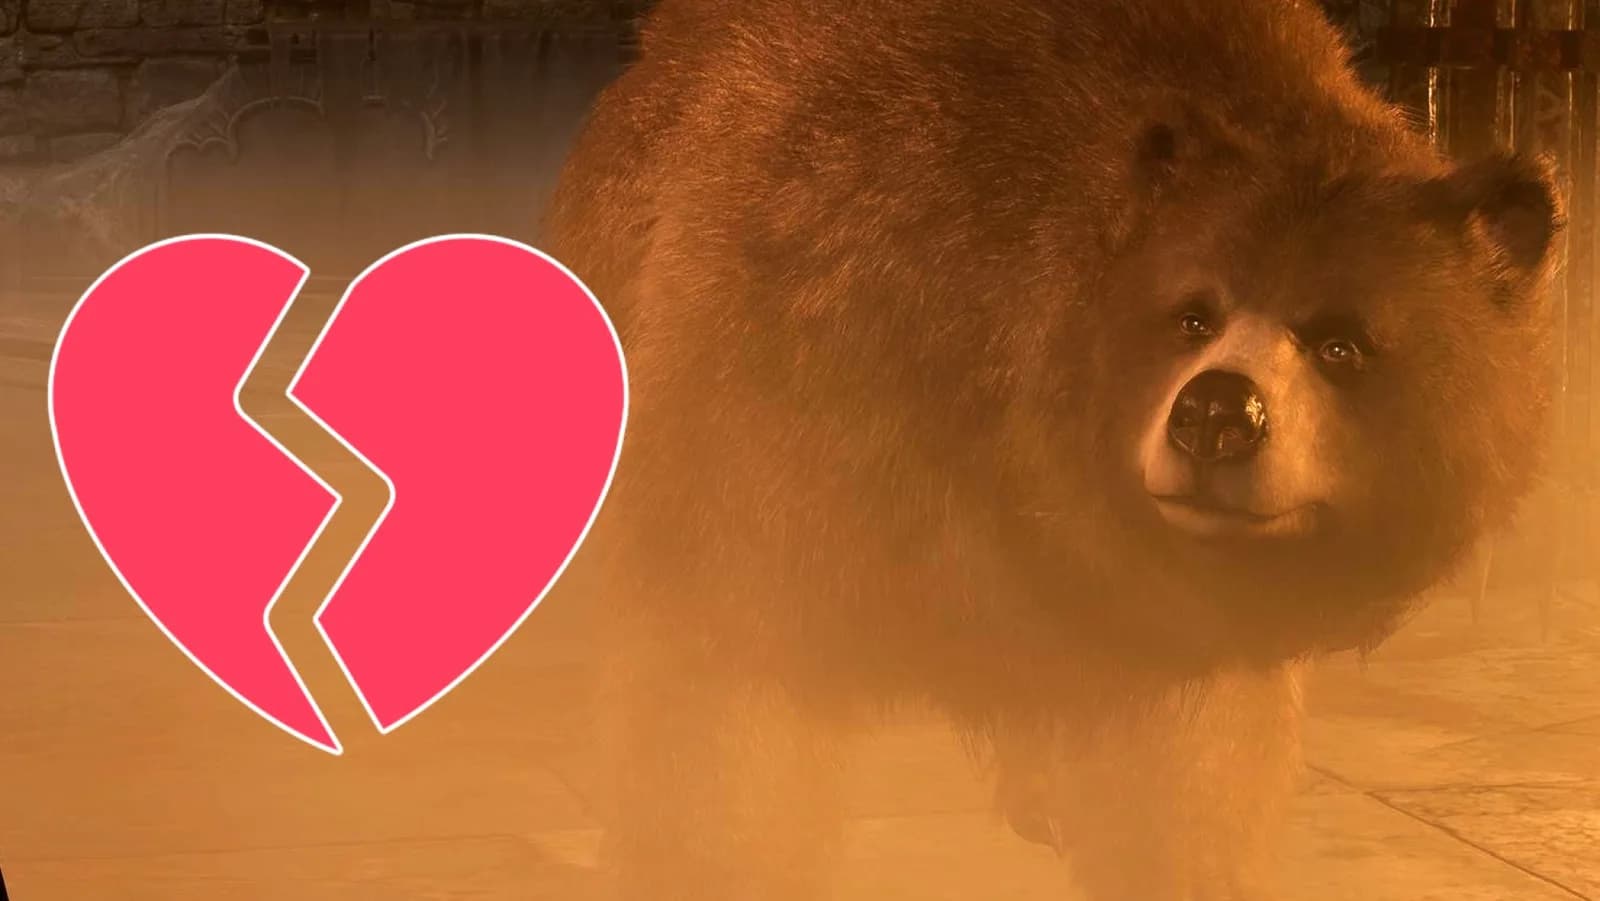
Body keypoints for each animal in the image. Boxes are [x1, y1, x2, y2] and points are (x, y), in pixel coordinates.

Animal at [541, 0, 1564, 898]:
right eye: (1191, 313)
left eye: (1341, 343)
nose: (1215, 415)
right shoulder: (781, 390)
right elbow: (720, 701)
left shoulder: (1169, 634)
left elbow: (1191, 771)